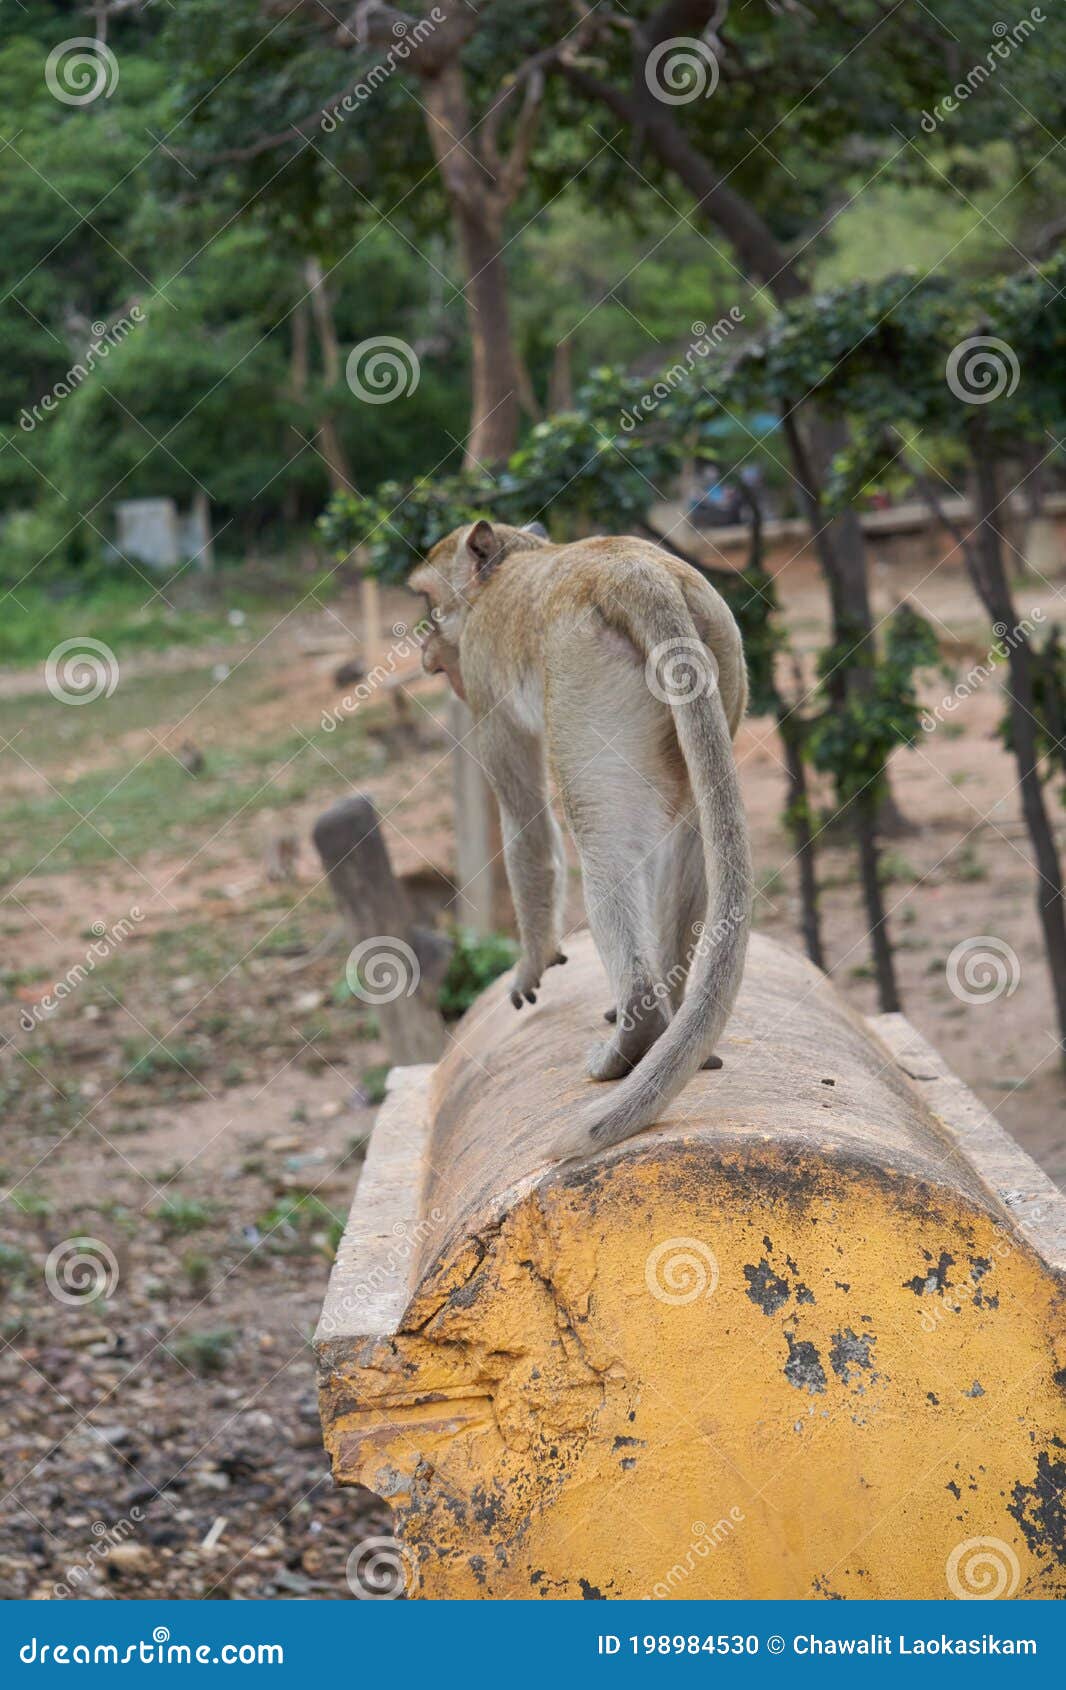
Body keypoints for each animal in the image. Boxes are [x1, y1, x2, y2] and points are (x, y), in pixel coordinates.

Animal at [408, 520, 750, 1162]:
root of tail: (640, 574)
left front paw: (531, 960)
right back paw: (671, 1023)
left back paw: (640, 1029)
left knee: (601, 846)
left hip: (590, 683)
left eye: (427, 603)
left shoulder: (485, 677)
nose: (424, 649)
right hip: (719, 658)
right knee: (687, 837)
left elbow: (527, 822)